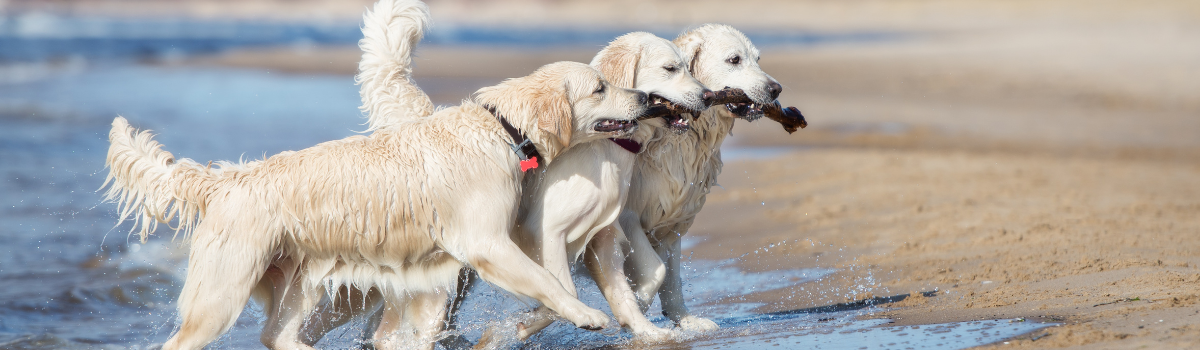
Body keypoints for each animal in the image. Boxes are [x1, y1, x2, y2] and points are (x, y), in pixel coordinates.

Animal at [100, 39, 648, 350]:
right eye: (600, 88)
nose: (644, 97)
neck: (499, 128)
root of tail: (226, 179)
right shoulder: (485, 243)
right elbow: (549, 283)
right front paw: (587, 315)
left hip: (298, 278)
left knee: (277, 335)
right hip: (222, 291)